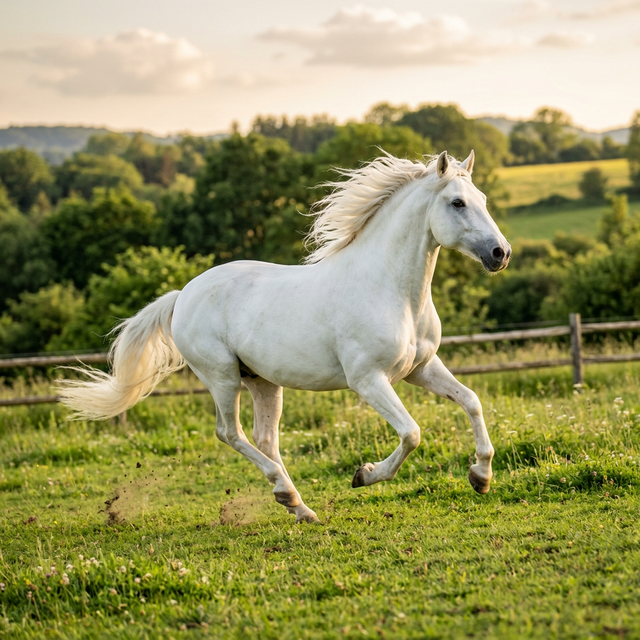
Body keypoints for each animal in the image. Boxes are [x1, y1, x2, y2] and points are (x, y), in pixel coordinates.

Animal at [59, 150, 511, 524]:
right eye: (457, 203)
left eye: (483, 199)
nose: (500, 254)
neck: (392, 291)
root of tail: (181, 296)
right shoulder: (368, 380)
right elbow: (411, 433)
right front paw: (364, 475)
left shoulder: (421, 368)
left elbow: (471, 401)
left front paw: (480, 477)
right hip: (221, 376)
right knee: (231, 433)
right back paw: (288, 495)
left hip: (262, 381)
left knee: (265, 438)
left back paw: (299, 507)